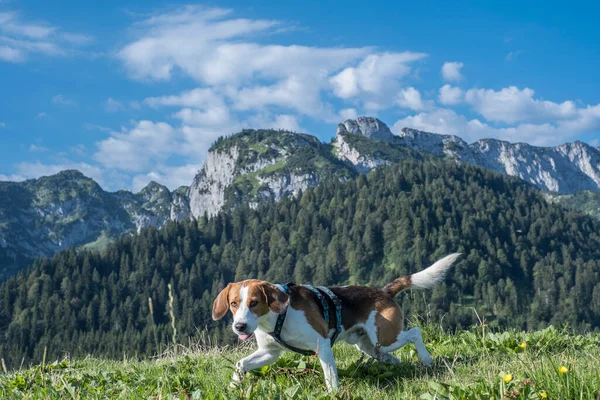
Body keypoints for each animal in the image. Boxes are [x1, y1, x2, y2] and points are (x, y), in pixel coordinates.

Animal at [211, 253, 460, 390]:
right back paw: (396, 364)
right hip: (367, 345)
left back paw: (426, 359)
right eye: (233, 303)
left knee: (415, 332)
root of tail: (382, 291)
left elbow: (330, 376)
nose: (239, 326)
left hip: (386, 337)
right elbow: (240, 364)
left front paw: (333, 393)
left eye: (254, 303)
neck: (276, 318)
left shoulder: (322, 345)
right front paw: (233, 386)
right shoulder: (270, 353)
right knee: (389, 356)